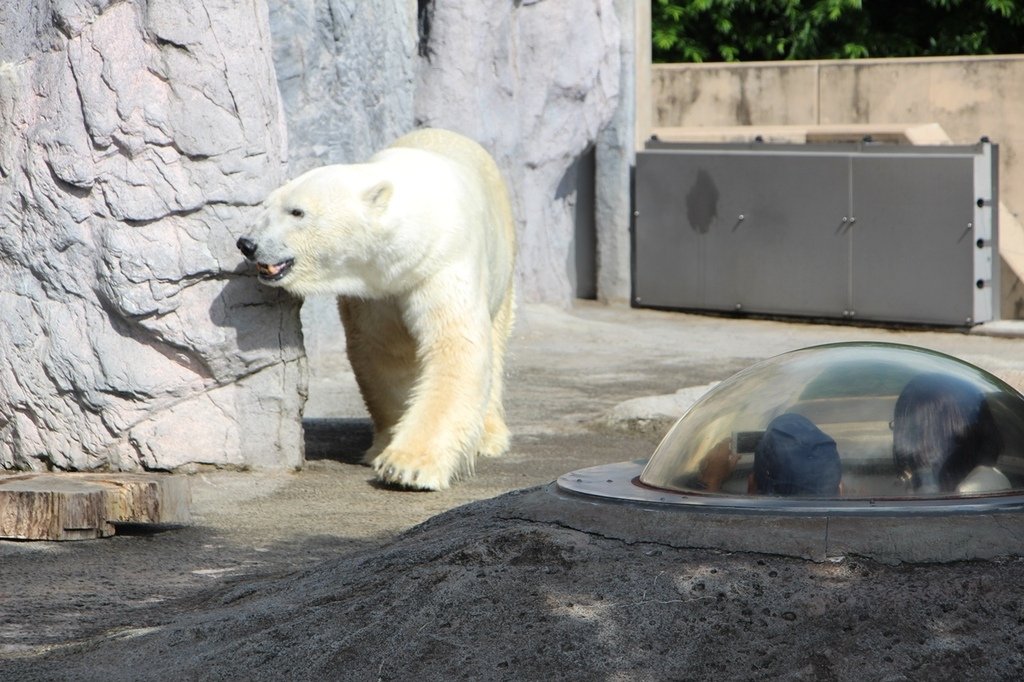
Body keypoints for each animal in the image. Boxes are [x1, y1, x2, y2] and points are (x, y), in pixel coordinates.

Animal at [235, 129, 516, 489]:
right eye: (267, 205)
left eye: (297, 212)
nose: (247, 244)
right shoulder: (374, 291)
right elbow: (385, 352)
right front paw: (387, 445)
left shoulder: (441, 263)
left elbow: (455, 347)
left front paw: (408, 467)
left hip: (503, 262)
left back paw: (489, 437)